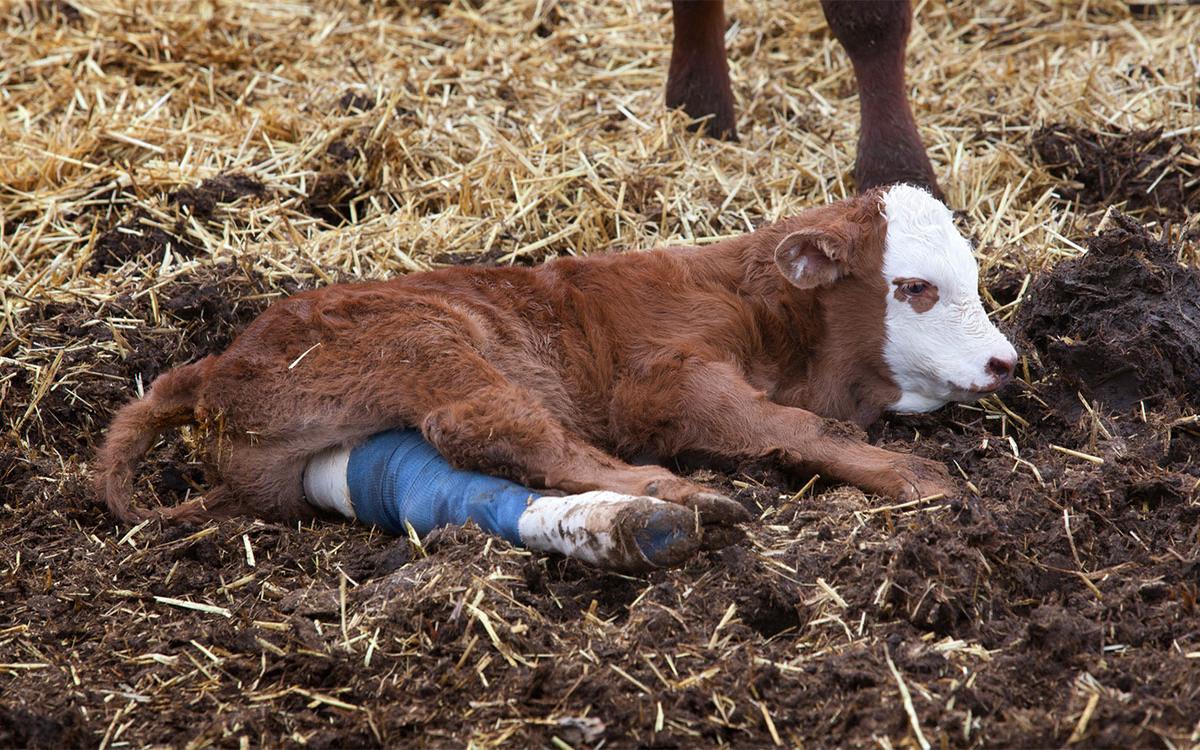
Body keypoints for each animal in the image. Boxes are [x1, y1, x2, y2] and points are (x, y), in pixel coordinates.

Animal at [95, 185, 1016, 558]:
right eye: (915, 287)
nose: (1005, 361)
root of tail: (214, 368)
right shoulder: (661, 378)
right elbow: (788, 425)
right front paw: (913, 476)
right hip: (429, 341)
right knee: (498, 430)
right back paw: (680, 496)